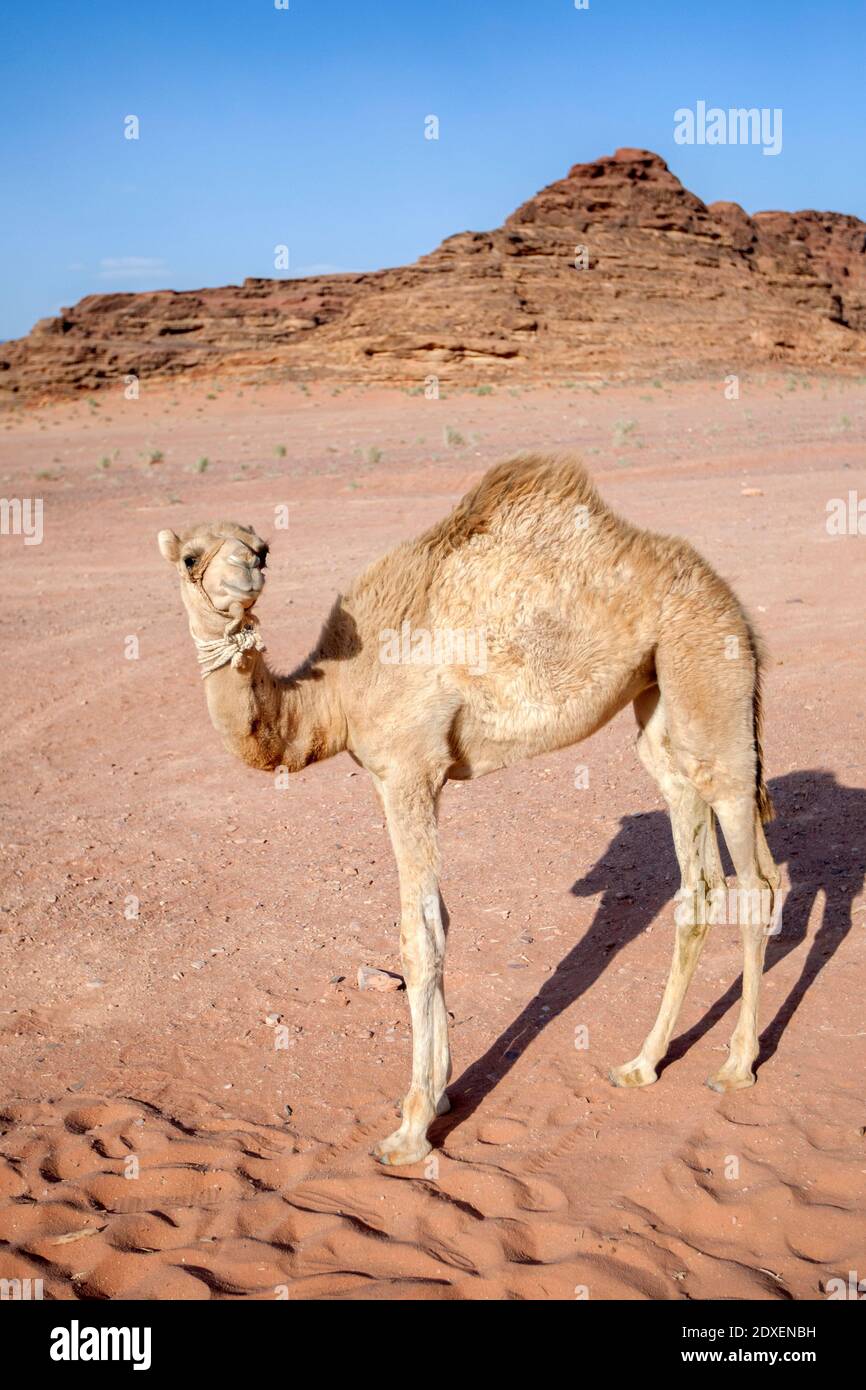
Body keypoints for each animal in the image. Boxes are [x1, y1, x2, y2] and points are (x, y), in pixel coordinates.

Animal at [159, 453, 783, 1162]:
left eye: (262, 545)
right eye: (190, 556)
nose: (248, 569)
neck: (334, 695)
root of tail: (728, 596)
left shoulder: (408, 769)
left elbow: (419, 935)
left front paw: (410, 1129)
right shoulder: (413, 775)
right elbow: (444, 922)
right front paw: (442, 1094)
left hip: (709, 667)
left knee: (753, 873)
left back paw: (735, 1066)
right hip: (661, 700)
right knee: (699, 868)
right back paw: (642, 1064)